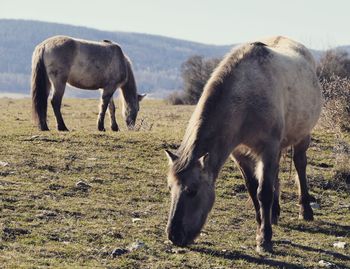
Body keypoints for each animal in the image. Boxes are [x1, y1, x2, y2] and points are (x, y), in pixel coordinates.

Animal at [165, 36, 322, 252]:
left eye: (192, 190)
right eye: (170, 188)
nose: (174, 236)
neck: (246, 96)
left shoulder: (268, 148)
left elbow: (263, 191)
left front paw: (265, 239)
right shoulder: (240, 153)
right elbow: (252, 187)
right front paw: (261, 222)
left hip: (302, 137)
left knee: (300, 165)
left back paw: (305, 210)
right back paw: (274, 213)